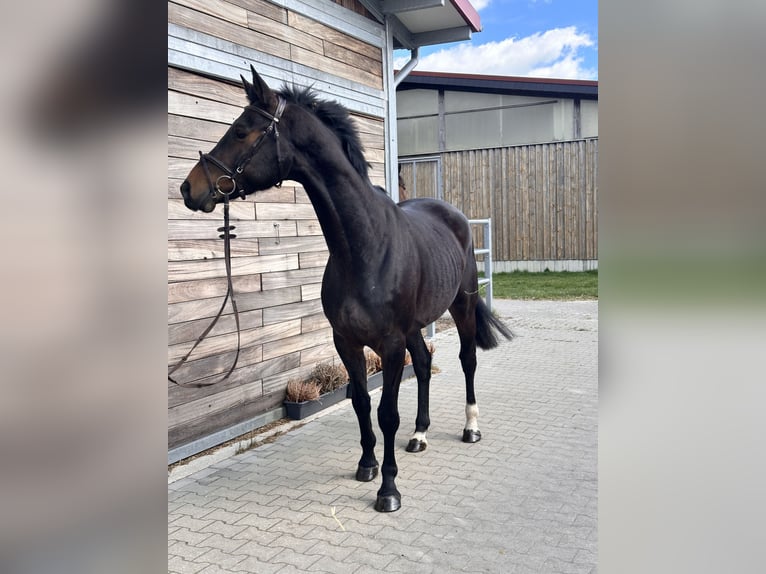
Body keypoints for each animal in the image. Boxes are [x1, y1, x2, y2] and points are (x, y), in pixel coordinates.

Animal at [180, 66, 513, 512]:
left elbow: (387, 413)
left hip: (461, 304)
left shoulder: (390, 344)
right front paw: (367, 465)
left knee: (467, 359)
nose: (188, 188)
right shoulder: (346, 341)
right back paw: (419, 435)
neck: (364, 248)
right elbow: (361, 402)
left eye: (241, 131)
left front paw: (388, 489)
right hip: (414, 327)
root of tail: (453, 215)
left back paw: (471, 427)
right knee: (425, 363)